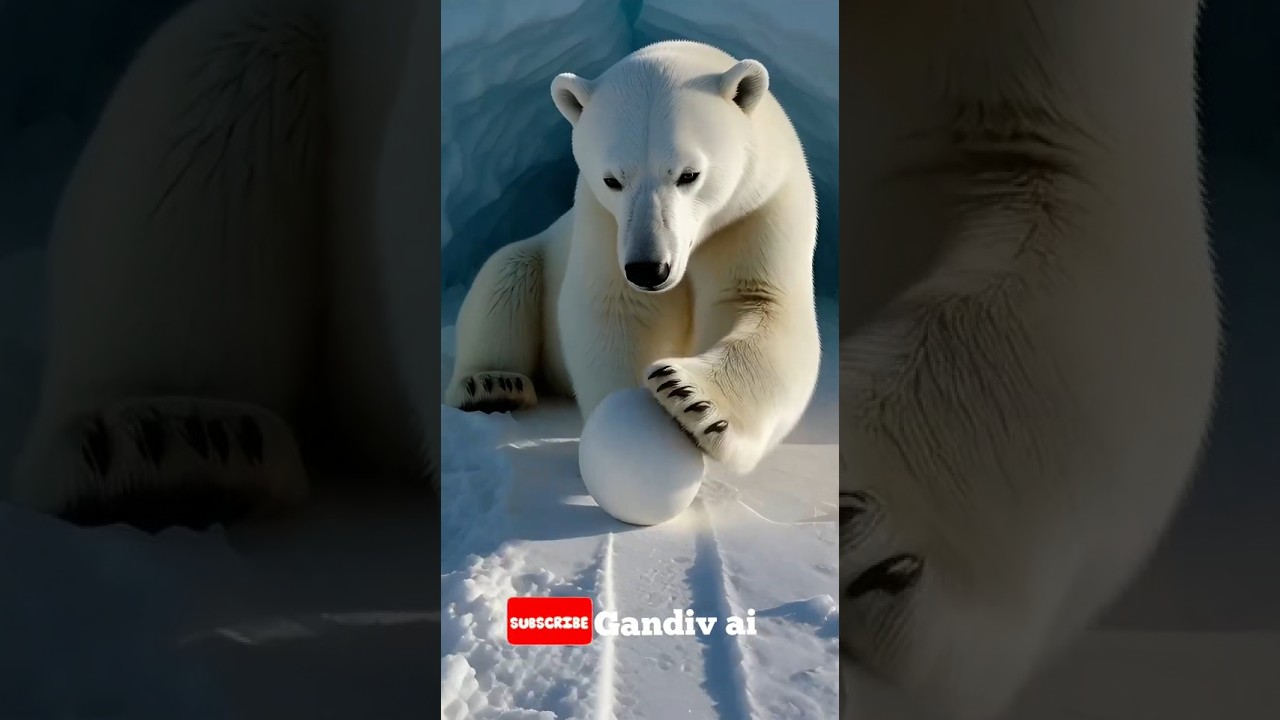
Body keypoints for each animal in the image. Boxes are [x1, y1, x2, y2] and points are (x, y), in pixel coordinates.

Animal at [444, 40, 823, 476]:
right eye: (613, 179)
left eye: (689, 174)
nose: (648, 269)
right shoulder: (602, 221)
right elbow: (616, 309)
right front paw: (626, 427)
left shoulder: (755, 210)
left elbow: (765, 307)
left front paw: (685, 394)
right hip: (540, 252)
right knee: (506, 274)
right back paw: (492, 385)